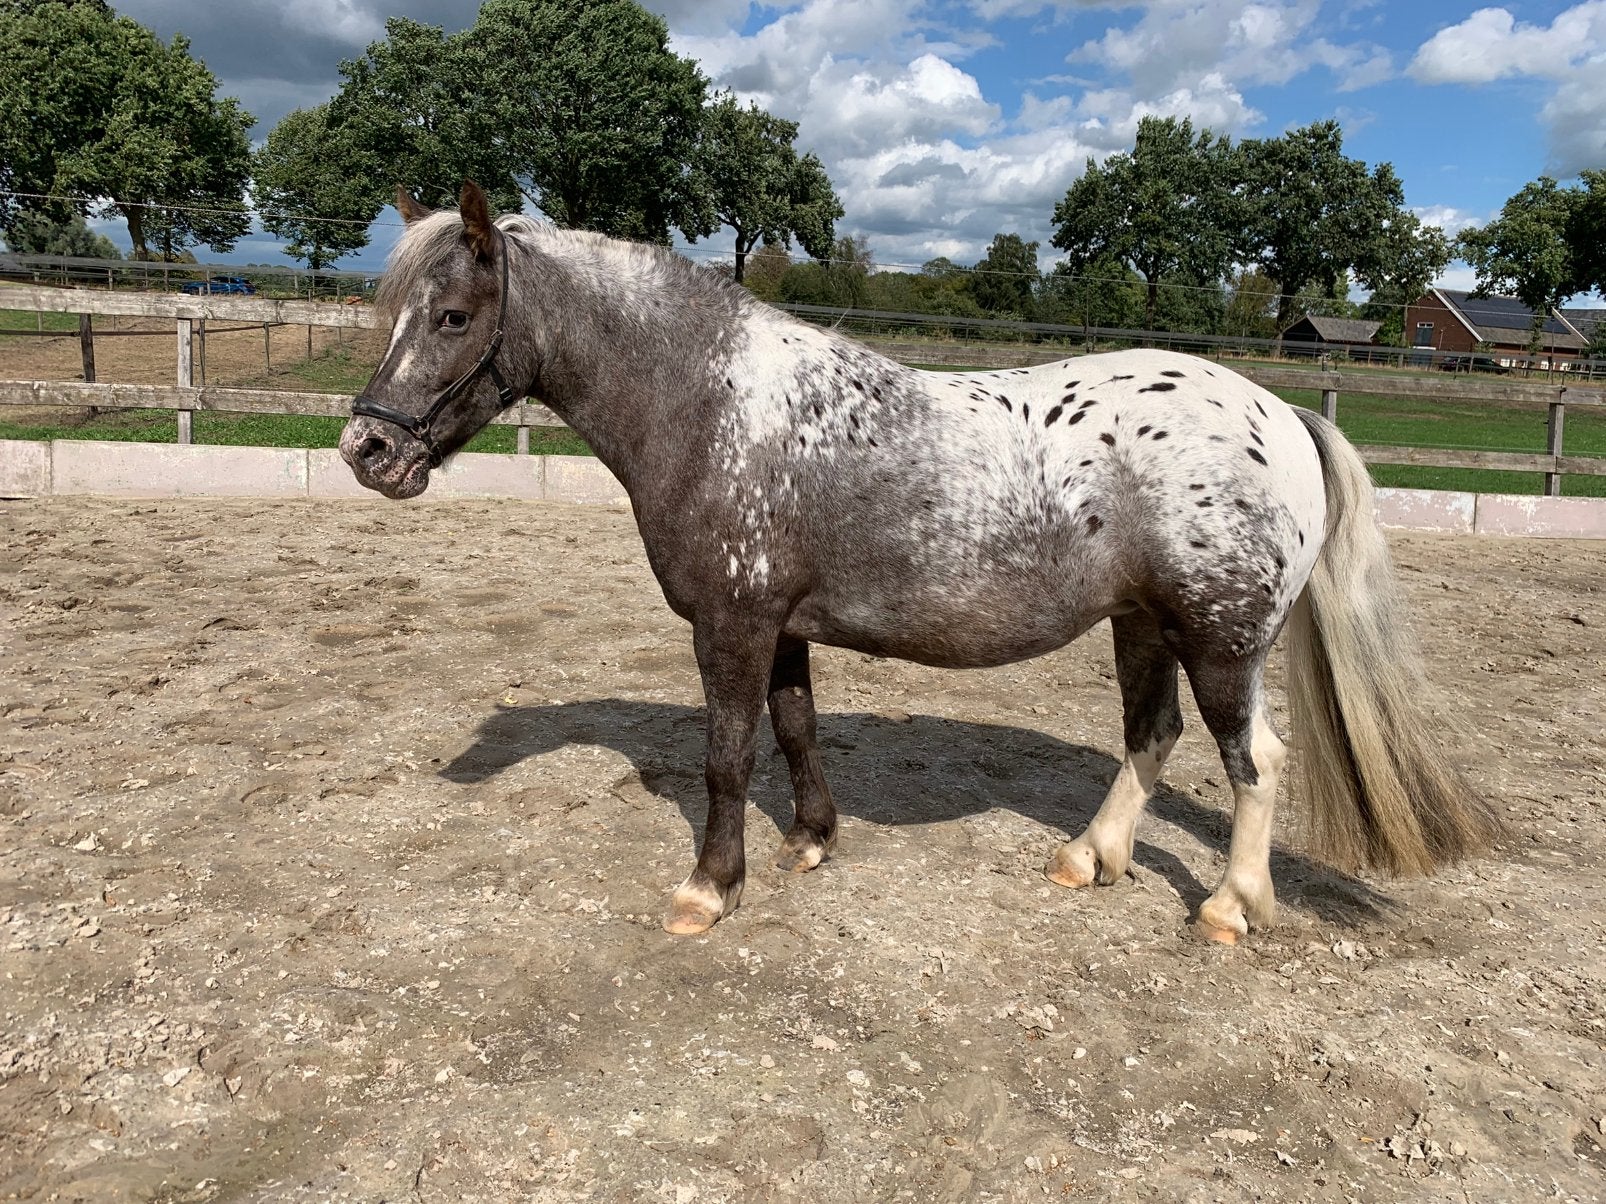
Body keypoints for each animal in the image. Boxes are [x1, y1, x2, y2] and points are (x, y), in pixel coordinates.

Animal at [339, 182, 1501, 943]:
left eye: (453, 315)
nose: (366, 451)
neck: (714, 402)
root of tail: (1280, 411)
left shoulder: (733, 624)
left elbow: (726, 755)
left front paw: (710, 889)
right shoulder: (781, 626)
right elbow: (795, 730)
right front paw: (812, 842)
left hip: (1220, 641)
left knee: (1253, 757)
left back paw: (1226, 907)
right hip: (1141, 624)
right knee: (1152, 738)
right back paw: (1089, 858)